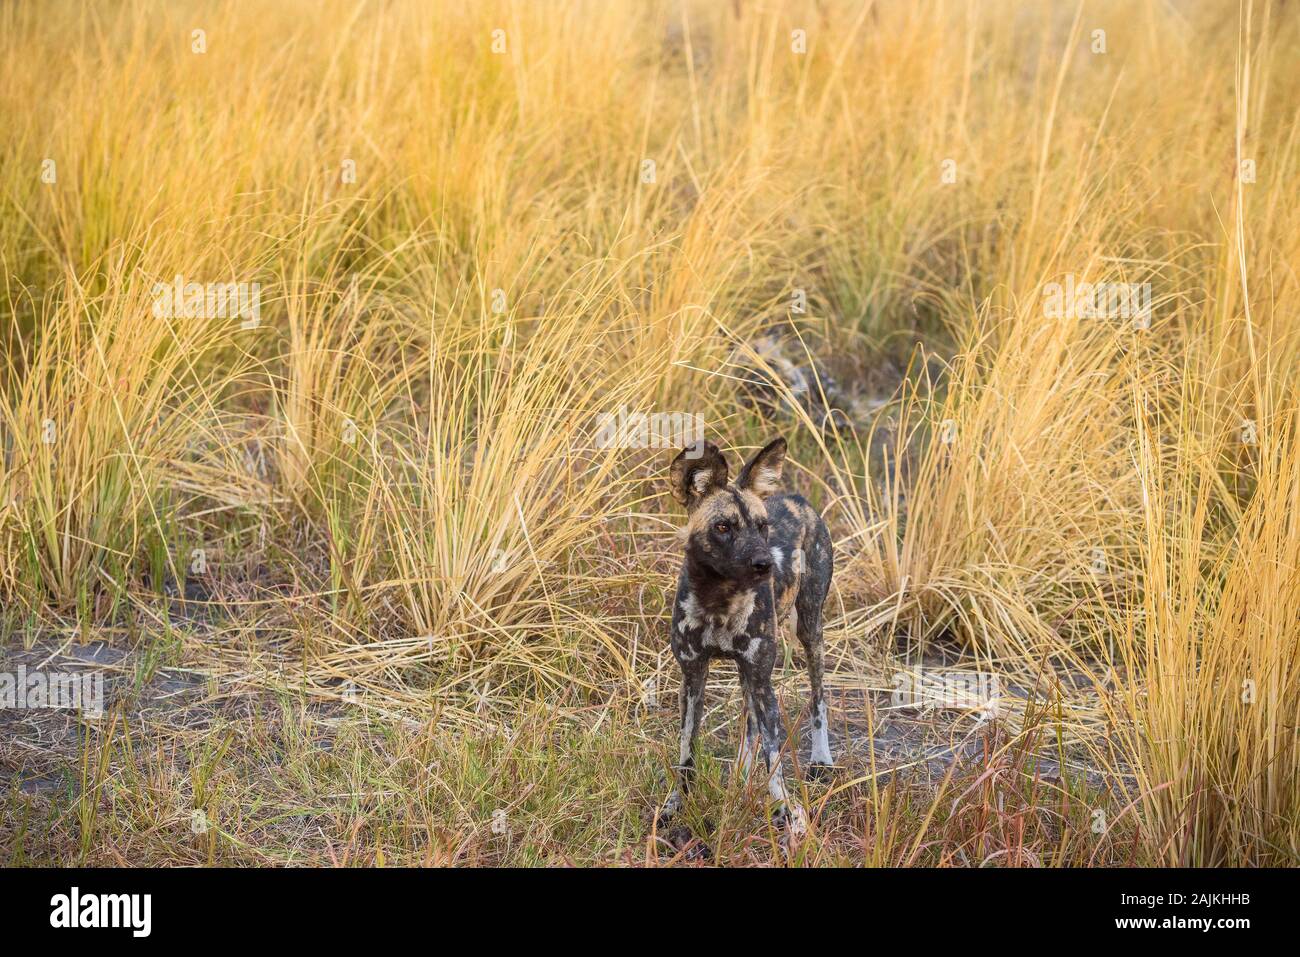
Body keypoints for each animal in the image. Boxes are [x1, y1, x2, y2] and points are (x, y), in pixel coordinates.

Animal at [660, 436, 832, 832]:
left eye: (762, 525)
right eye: (724, 527)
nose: (764, 564)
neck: (719, 601)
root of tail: (797, 499)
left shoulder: (761, 678)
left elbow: (774, 756)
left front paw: (786, 812)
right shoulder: (693, 676)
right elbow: (686, 751)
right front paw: (677, 804)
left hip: (808, 632)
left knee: (817, 697)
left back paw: (821, 760)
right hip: (747, 672)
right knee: (750, 723)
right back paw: (739, 777)